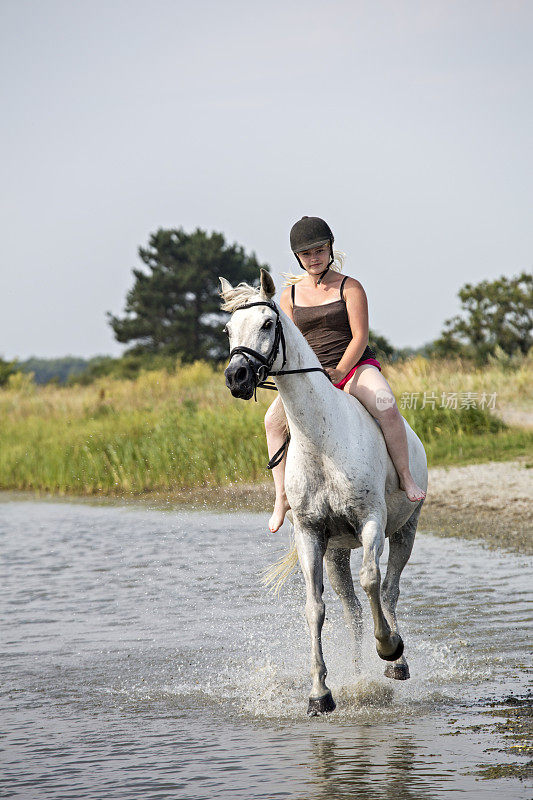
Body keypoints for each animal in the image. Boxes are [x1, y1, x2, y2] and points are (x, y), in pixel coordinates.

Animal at [220, 272, 428, 716]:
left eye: (267, 323)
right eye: (228, 330)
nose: (236, 378)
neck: (320, 437)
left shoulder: (370, 521)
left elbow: (371, 579)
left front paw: (389, 648)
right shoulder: (311, 534)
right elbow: (315, 609)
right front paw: (320, 694)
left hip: (406, 529)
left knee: (388, 590)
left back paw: (395, 661)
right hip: (335, 553)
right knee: (353, 611)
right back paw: (359, 676)